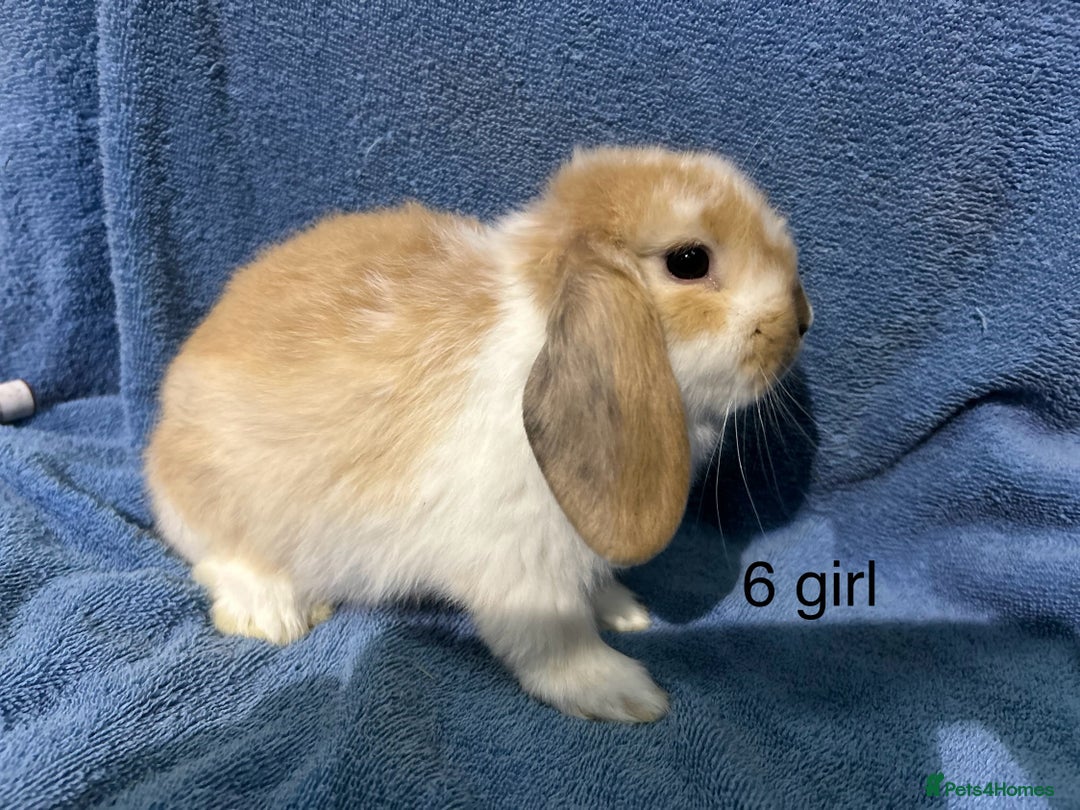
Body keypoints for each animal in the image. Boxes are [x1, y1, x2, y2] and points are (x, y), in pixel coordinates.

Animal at [144, 145, 812, 723]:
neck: (543, 320)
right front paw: (622, 692)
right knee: (217, 559)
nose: (801, 320)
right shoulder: (520, 564)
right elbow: (554, 641)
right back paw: (274, 614)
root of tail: (161, 435)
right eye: (689, 262)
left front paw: (624, 613)